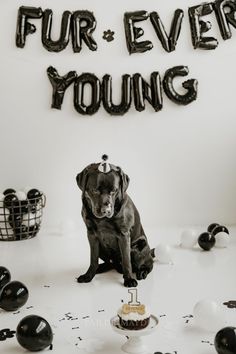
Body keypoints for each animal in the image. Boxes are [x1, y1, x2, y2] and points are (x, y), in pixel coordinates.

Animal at [76, 160, 154, 288]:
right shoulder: (91, 235)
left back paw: (142, 272)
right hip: (102, 250)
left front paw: (129, 279)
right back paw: (100, 268)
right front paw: (88, 276)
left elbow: (126, 261)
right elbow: (93, 259)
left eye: (114, 190)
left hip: (138, 248)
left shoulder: (124, 235)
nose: (106, 211)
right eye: (95, 190)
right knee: (110, 263)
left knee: (148, 264)